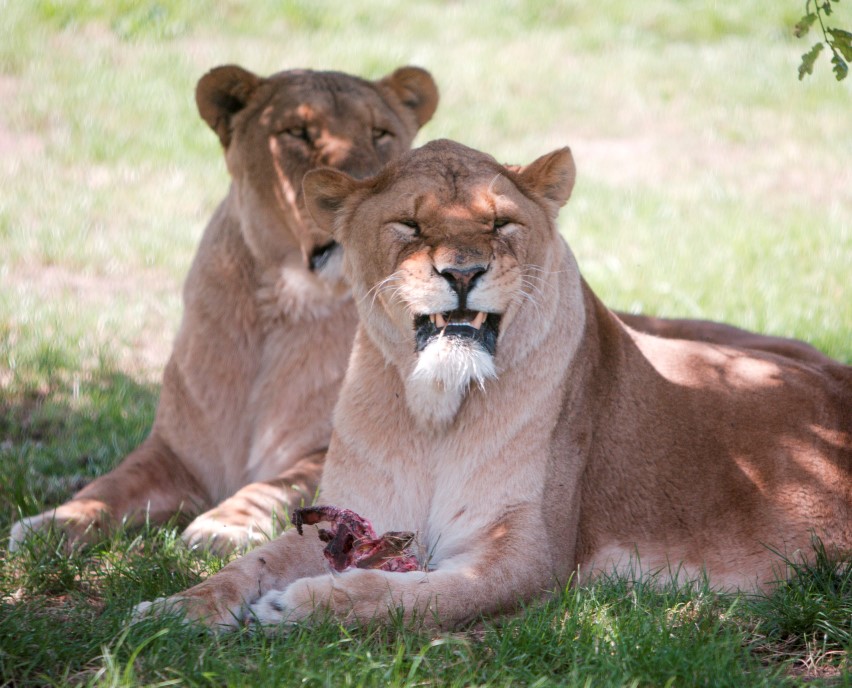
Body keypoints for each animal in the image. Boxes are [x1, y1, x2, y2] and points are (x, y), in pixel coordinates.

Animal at [136, 137, 848, 628]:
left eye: (502, 224)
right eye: (410, 225)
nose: (463, 272)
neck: (434, 411)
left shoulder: (524, 558)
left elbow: (413, 599)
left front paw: (301, 606)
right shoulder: (355, 515)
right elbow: (247, 564)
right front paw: (173, 608)